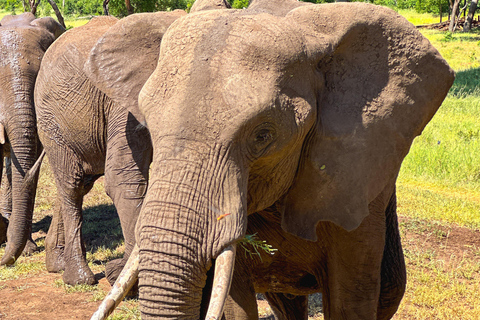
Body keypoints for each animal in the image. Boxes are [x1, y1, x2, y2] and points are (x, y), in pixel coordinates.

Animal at [93, 0, 454, 318]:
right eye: (148, 125)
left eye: (263, 136)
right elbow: (235, 304)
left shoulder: (358, 169)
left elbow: (350, 299)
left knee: (389, 289)